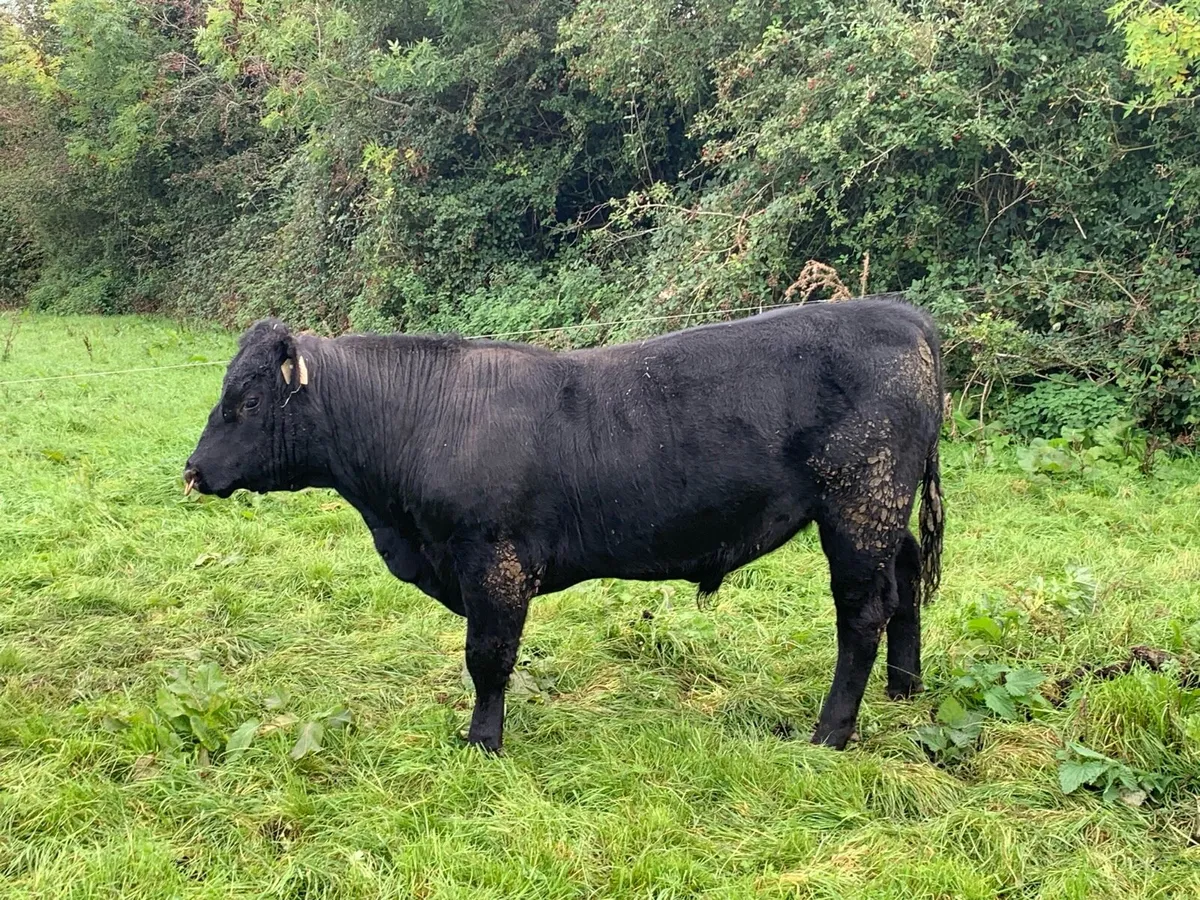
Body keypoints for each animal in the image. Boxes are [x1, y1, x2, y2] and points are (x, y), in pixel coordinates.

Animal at [183, 295, 945, 753]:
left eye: (247, 401)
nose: (192, 470)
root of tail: (901, 315)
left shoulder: (494, 564)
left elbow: (487, 658)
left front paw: (482, 742)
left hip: (858, 506)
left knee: (862, 613)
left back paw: (830, 732)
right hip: (878, 511)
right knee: (905, 578)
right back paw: (904, 688)